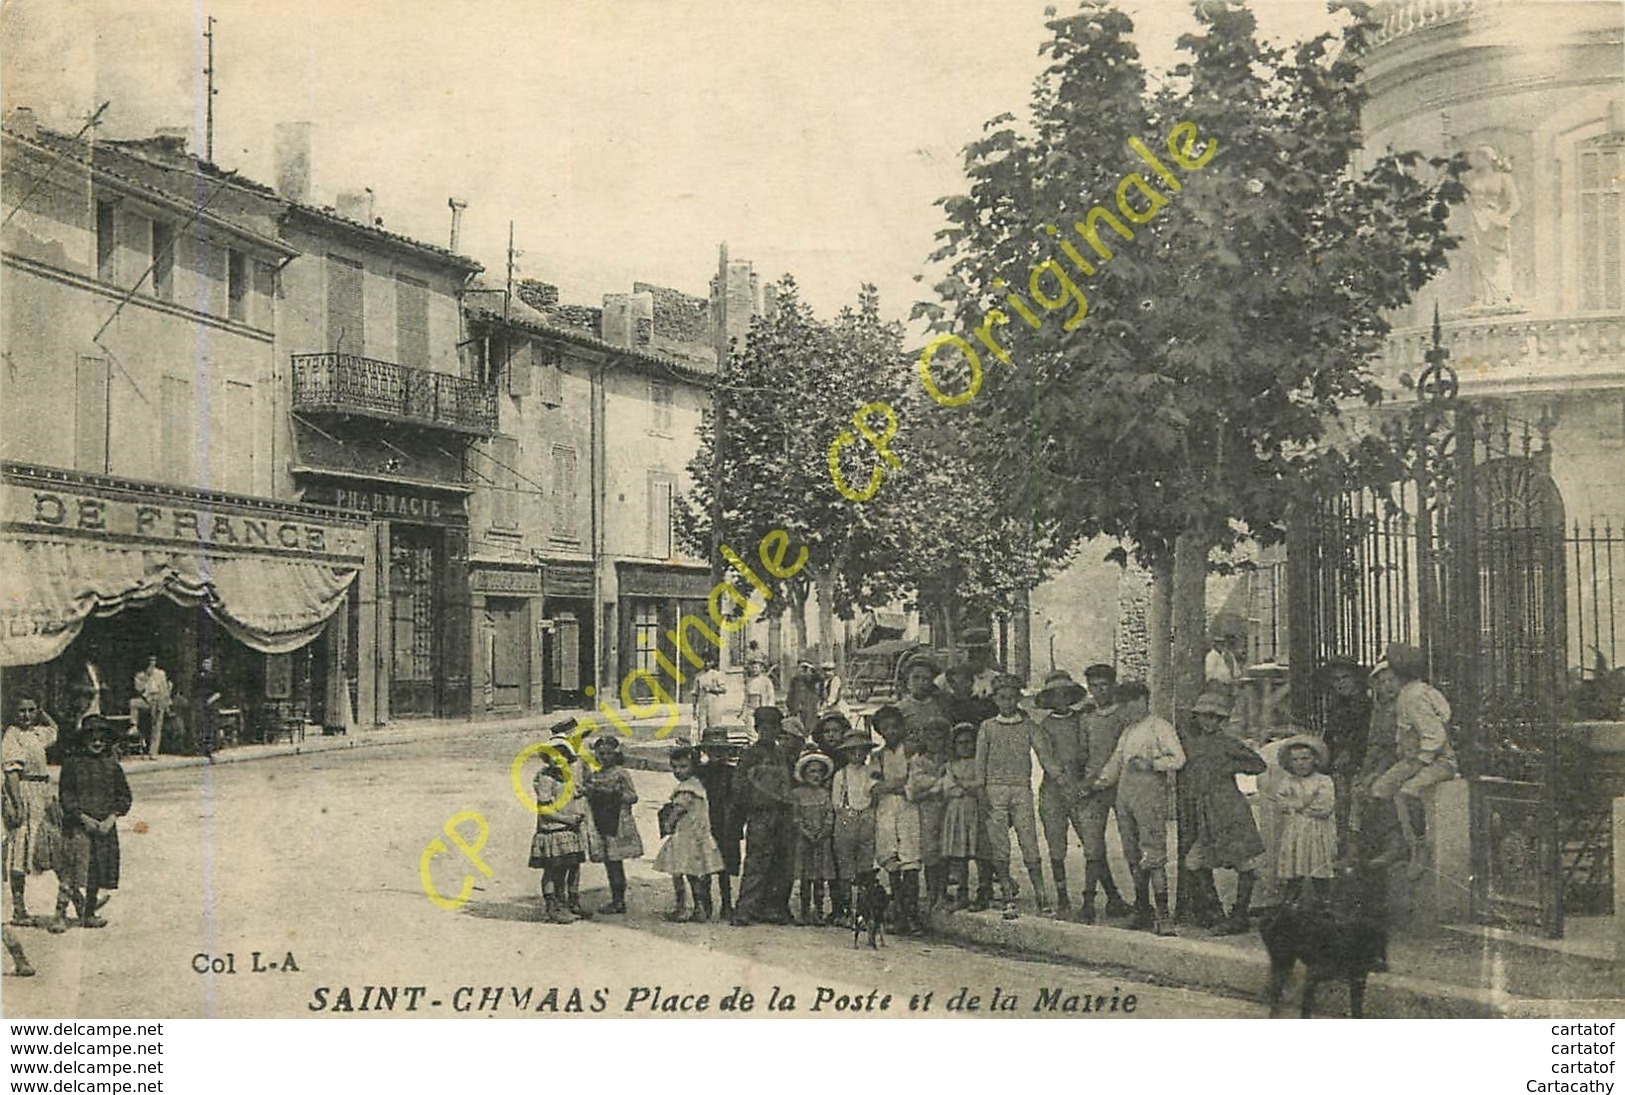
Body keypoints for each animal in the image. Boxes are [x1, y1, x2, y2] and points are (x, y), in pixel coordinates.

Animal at [1254, 877, 1384, 1013]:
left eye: (1380, 943)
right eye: (1366, 943)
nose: (1379, 963)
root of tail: (1270, 915)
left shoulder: (1358, 979)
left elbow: (1357, 1009)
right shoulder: (1314, 974)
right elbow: (1306, 1007)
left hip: (1285, 959)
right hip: (1283, 957)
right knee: (1277, 981)